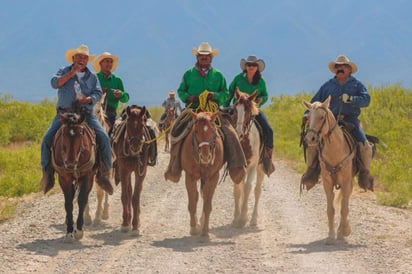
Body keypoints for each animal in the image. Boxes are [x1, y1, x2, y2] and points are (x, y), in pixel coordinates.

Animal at [51, 109, 96, 242]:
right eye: (63, 133)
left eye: (80, 134)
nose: (70, 164)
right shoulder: (64, 177)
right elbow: (68, 203)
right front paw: (69, 232)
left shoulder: (87, 176)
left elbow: (81, 200)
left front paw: (79, 230)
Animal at [112, 105, 150, 235]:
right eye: (128, 124)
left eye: (142, 124)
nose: (135, 146)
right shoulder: (124, 170)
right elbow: (125, 196)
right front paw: (125, 223)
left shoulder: (140, 172)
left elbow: (135, 197)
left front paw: (135, 225)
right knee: (128, 191)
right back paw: (128, 219)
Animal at [181, 109, 225, 238]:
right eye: (196, 131)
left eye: (213, 130)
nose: (206, 157)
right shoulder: (190, 176)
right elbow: (192, 203)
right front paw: (193, 228)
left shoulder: (213, 177)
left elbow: (207, 205)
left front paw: (205, 231)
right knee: (197, 197)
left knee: (204, 197)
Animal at [230, 89, 266, 228]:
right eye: (235, 109)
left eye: (248, 111)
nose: (239, 132)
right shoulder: (238, 167)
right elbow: (237, 188)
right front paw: (236, 217)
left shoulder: (252, 166)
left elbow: (247, 188)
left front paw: (243, 218)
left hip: (260, 168)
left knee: (257, 190)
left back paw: (254, 219)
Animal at [302, 96, 358, 244]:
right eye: (308, 117)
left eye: (321, 117)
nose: (310, 138)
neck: (335, 150)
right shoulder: (327, 182)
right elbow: (330, 210)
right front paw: (331, 236)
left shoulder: (346, 182)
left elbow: (344, 208)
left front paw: (343, 232)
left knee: (345, 204)